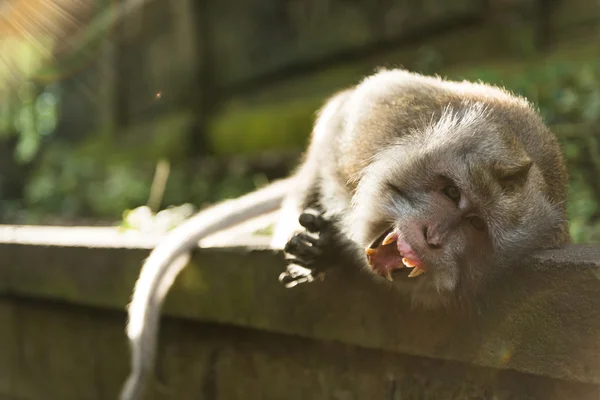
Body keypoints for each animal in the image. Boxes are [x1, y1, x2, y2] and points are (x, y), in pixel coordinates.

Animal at [119, 69, 568, 400]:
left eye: (476, 226)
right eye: (452, 193)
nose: (431, 235)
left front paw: (332, 250)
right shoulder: (381, 111)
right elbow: (344, 121)